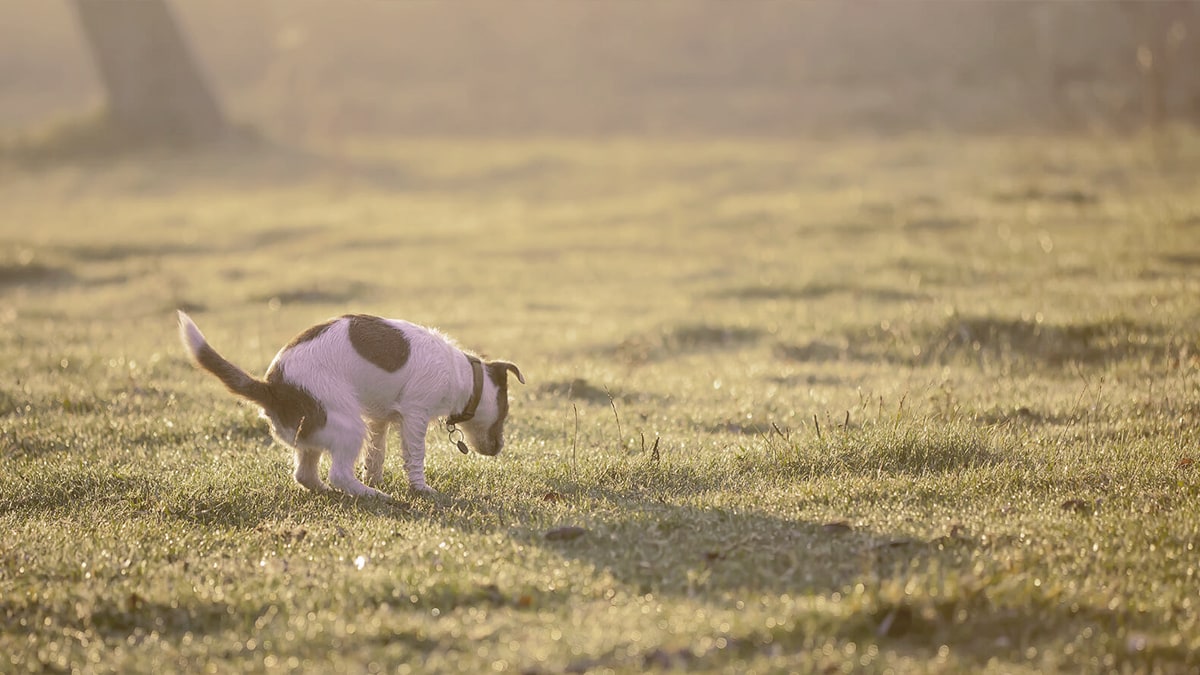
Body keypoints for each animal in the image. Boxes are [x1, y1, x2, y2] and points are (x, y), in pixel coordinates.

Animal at [175, 309, 523, 494]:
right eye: (505, 413)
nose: (498, 449)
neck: (463, 374)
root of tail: (272, 387)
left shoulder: (380, 419)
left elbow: (376, 454)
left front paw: (376, 476)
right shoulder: (414, 416)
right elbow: (414, 456)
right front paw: (419, 488)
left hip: (316, 431)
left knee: (305, 474)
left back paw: (335, 490)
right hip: (347, 424)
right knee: (339, 473)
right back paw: (371, 495)